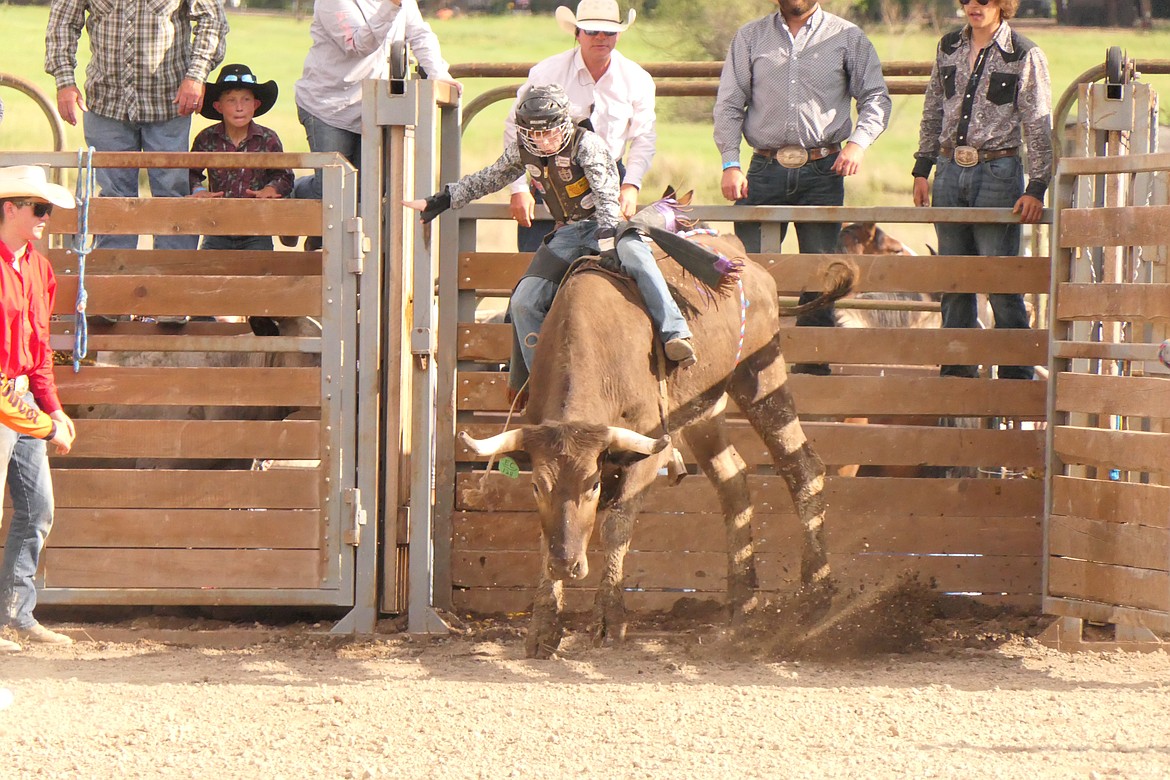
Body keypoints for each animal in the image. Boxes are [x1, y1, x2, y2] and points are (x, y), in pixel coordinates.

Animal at [456, 233, 851, 659]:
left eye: (593, 485)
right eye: (534, 486)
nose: (566, 565)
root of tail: (743, 259)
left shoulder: (649, 449)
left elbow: (617, 524)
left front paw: (609, 621)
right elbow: (547, 536)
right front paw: (544, 626)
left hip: (759, 375)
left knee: (802, 467)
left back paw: (815, 597)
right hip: (705, 408)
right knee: (733, 480)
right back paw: (743, 607)